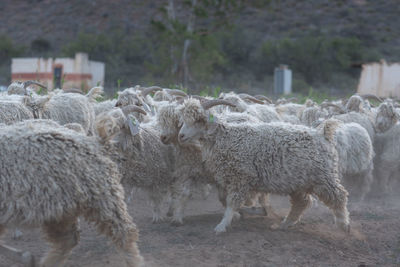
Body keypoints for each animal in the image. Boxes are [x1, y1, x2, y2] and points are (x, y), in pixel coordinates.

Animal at [0, 120, 144, 267]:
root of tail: (95, 142)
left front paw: (25, 257)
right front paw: (25, 257)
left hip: (102, 196)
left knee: (124, 233)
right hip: (60, 208)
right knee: (68, 239)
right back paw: (46, 262)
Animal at [178, 99, 350, 234]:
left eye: (199, 120)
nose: (181, 135)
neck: (226, 138)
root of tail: (323, 134)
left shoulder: (241, 177)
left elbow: (231, 202)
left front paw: (222, 225)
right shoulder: (229, 178)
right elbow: (224, 199)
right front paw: (237, 216)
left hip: (323, 177)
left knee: (339, 196)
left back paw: (344, 225)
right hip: (298, 182)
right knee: (303, 201)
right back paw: (285, 224)